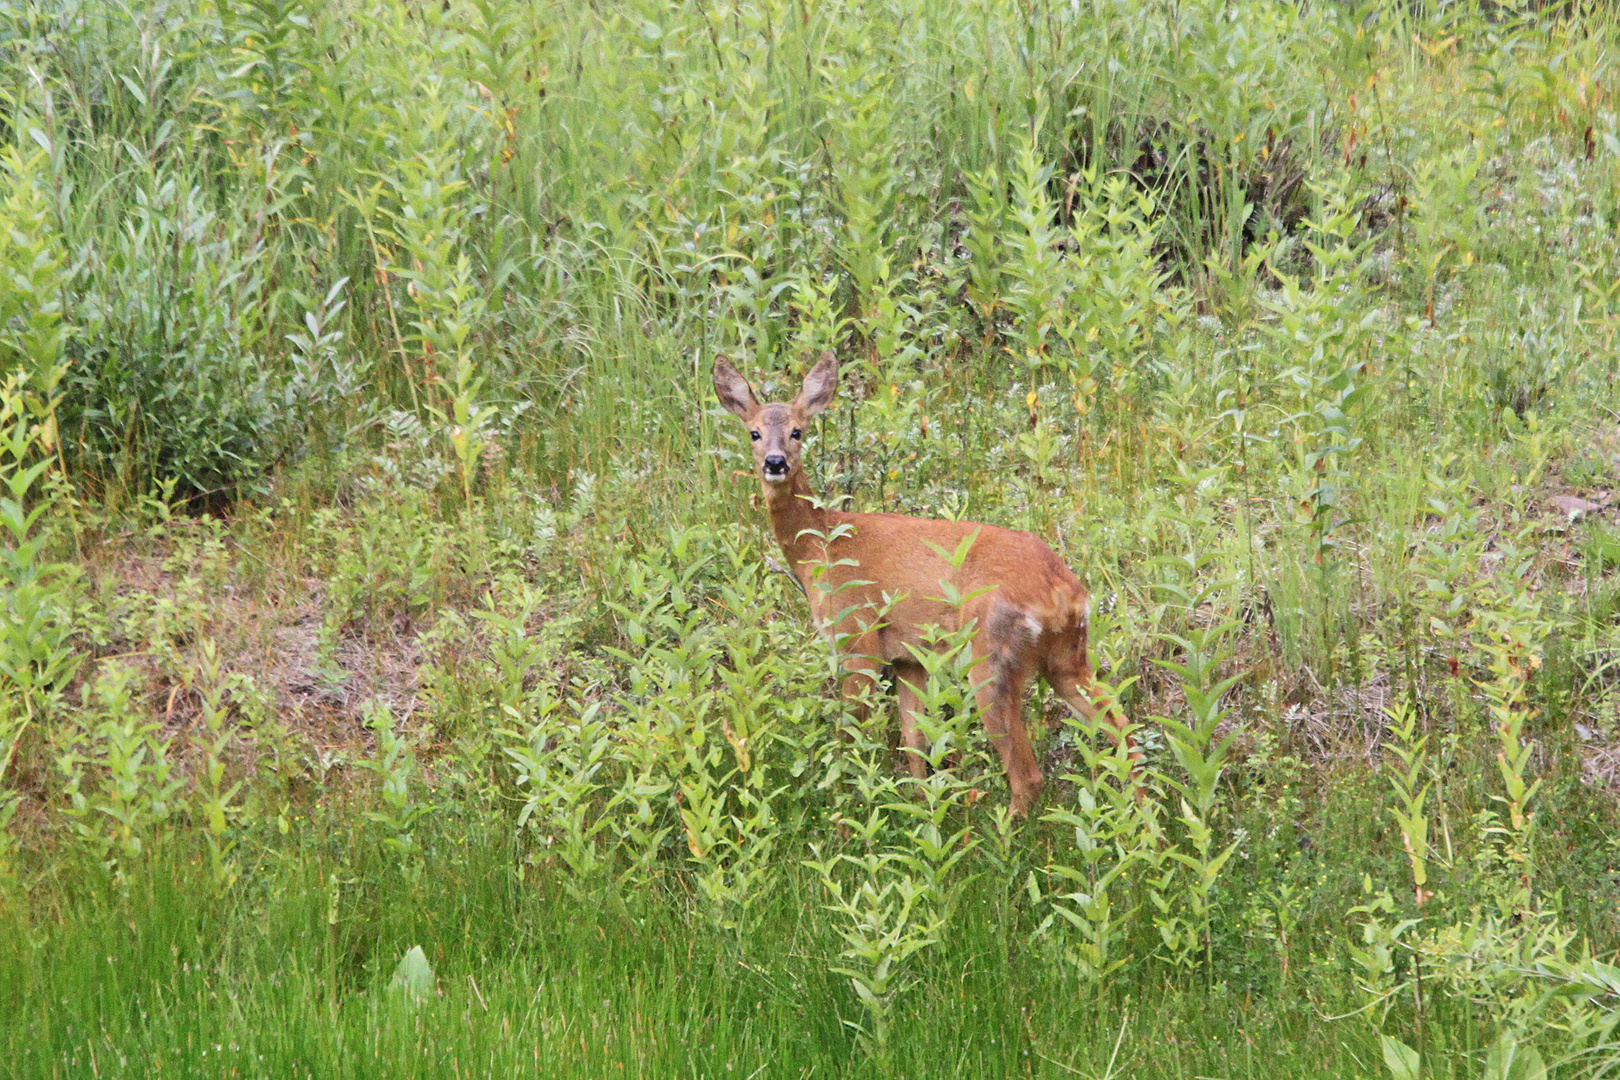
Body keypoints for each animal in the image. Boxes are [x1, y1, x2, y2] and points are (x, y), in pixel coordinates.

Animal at [716, 351, 1134, 816]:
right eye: (753, 432)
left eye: (797, 431)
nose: (775, 463)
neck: (820, 546)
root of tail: (1065, 591)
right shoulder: (909, 658)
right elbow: (914, 740)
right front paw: (919, 809)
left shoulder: (858, 637)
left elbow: (851, 736)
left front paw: (846, 813)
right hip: (1067, 657)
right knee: (1123, 731)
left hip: (990, 654)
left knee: (1027, 773)